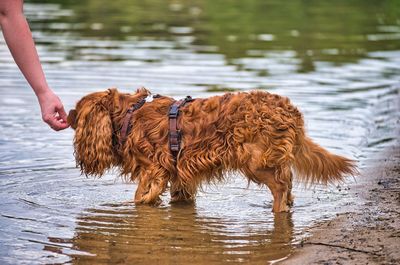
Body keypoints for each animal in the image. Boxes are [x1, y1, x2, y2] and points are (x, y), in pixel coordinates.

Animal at [68, 87, 356, 211]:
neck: (129, 114)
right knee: (289, 181)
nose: (67, 117)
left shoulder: (154, 170)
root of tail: (290, 111)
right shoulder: (180, 174)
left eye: (78, 114)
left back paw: (277, 209)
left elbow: (141, 196)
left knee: (281, 187)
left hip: (255, 162)